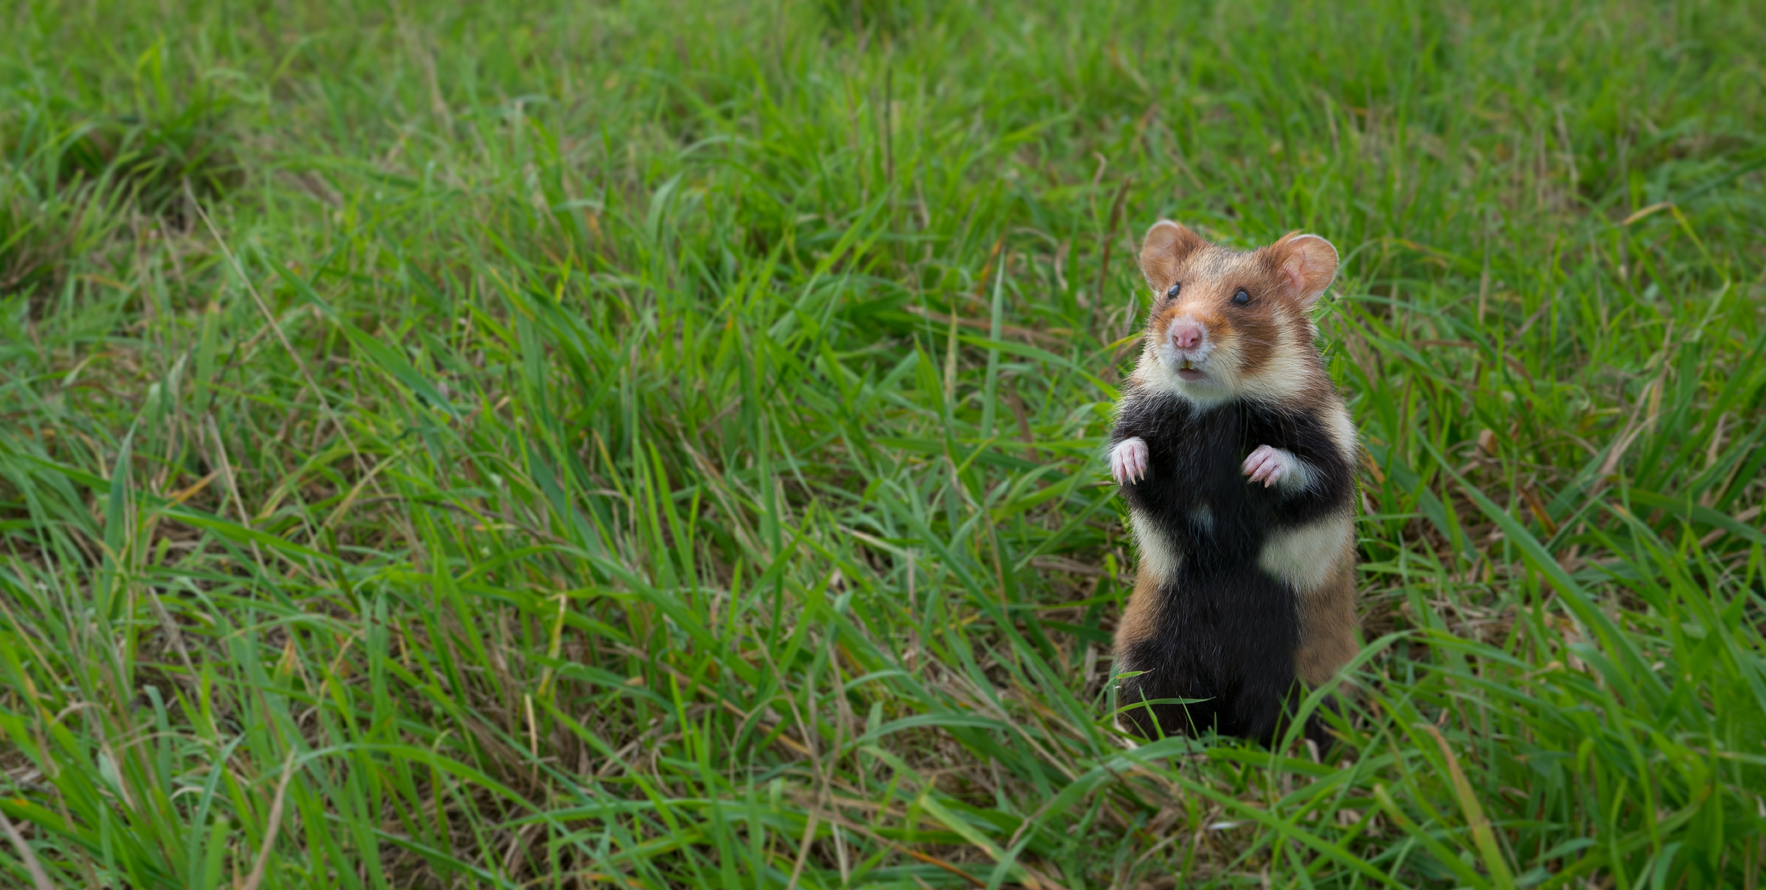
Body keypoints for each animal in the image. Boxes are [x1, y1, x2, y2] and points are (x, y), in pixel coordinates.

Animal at [1109, 218, 1356, 748]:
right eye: (1173, 291)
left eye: (1243, 298)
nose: (1184, 334)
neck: (1212, 407)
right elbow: (1131, 452)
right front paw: (1129, 463)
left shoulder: (1333, 451)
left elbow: (1304, 469)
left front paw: (1257, 466)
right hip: (1149, 653)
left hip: (1302, 671)